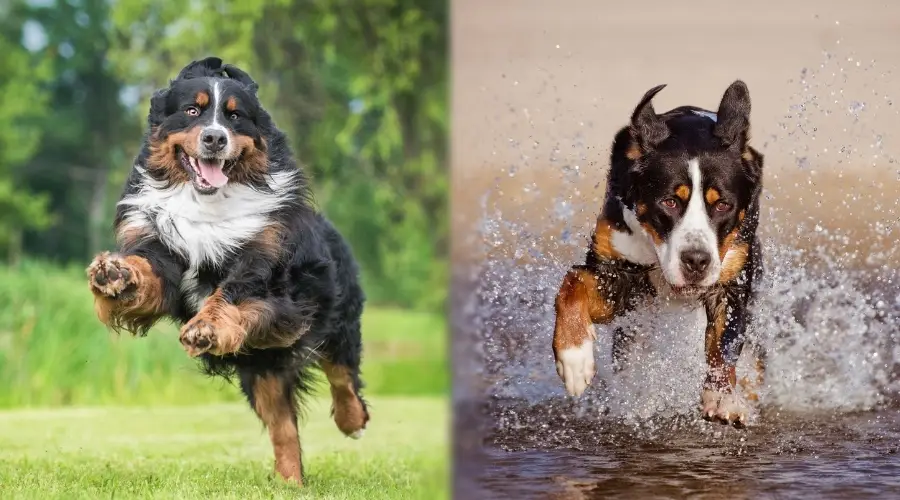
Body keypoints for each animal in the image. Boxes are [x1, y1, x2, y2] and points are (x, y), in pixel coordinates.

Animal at [84, 57, 366, 484]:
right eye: (192, 111)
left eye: (235, 116)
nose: (215, 138)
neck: (208, 202)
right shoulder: (163, 253)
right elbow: (148, 272)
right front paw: (116, 274)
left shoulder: (271, 277)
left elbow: (233, 293)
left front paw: (206, 328)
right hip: (261, 369)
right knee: (284, 428)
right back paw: (290, 483)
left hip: (333, 315)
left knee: (341, 372)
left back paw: (352, 421)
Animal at [552, 81, 764, 426]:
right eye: (669, 202)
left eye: (723, 205)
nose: (697, 261)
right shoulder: (618, 274)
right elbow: (573, 283)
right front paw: (574, 356)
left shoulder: (731, 282)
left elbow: (724, 343)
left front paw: (722, 397)